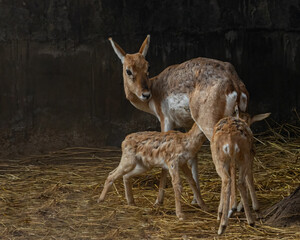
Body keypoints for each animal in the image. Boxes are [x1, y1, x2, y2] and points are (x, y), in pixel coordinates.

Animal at [108, 34, 248, 204]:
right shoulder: (189, 126)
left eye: (148, 67)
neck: (155, 90)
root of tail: (234, 84)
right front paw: (195, 199)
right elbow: (193, 157)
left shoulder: (165, 120)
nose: (145, 94)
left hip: (210, 125)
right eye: (128, 70)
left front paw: (158, 201)